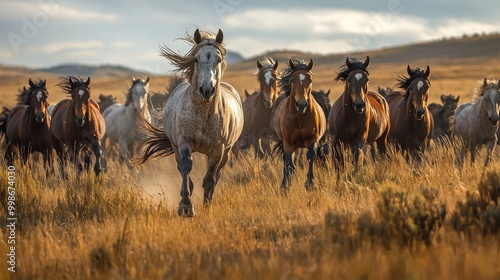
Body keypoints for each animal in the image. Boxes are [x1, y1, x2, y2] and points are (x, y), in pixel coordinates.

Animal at [272, 58, 326, 190]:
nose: (301, 104)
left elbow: (311, 157)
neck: (300, 117)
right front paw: (286, 186)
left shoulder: (313, 139)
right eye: (292, 80)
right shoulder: (288, 143)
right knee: (286, 161)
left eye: (310, 79)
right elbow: (289, 164)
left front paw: (310, 183)